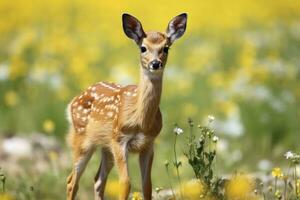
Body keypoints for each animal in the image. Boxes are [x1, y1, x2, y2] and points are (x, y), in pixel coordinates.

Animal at [66, 13, 188, 199]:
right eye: (143, 48)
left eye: (166, 48)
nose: (155, 64)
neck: (141, 120)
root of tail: (73, 100)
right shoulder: (119, 139)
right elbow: (125, 183)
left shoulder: (148, 143)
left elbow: (147, 185)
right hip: (82, 139)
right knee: (72, 181)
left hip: (105, 146)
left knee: (97, 180)